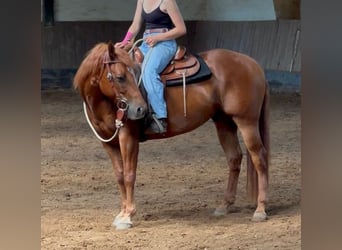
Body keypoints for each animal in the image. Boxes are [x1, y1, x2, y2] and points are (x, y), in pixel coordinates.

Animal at [73, 41, 270, 230]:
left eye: (132, 74)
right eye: (120, 77)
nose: (140, 109)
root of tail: (253, 64)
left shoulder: (128, 138)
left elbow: (129, 175)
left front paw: (128, 215)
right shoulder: (108, 143)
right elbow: (120, 176)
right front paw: (121, 213)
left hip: (246, 121)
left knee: (259, 158)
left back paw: (260, 209)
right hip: (224, 123)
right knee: (234, 158)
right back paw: (224, 206)